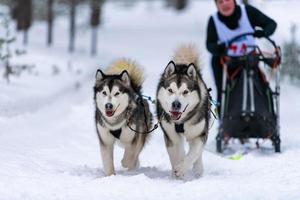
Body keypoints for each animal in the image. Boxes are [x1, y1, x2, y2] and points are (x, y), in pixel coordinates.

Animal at [156, 45, 210, 178]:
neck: (181, 122)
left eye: (185, 91)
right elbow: (176, 155)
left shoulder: (198, 133)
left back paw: (198, 169)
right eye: (170, 90)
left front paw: (181, 169)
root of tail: (183, 64)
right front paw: (177, 171)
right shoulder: (171, 136)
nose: (176, 104)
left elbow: (194, 153)